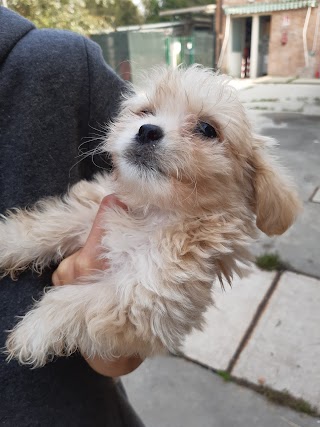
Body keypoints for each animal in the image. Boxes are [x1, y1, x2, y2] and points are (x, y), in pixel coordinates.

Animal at [0, 65, 302, 366]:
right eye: (145, 112)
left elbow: (77, 302)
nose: (147, 130)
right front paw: (7, 242)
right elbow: (49, 225)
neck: (152, 211)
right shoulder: (93, 213)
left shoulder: (151, 297)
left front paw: (33, 329)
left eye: (207, 129)